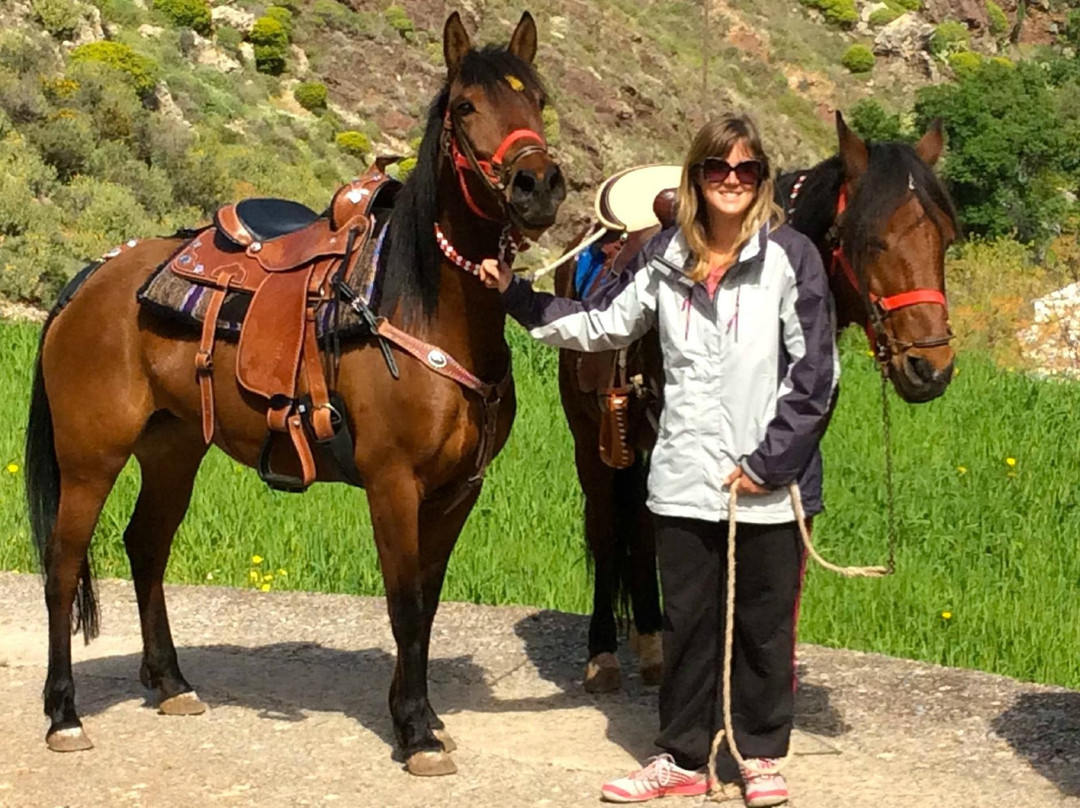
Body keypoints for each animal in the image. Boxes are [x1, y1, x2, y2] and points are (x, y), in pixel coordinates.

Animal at [23, 11, 565, 776]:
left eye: (539, 101)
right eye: (465, 107)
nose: (537, 184)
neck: (423, 309)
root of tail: (92, 275)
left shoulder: (460, 490)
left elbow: (428, 605)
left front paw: (421, 715)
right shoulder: (393, 482)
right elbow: (404, 603)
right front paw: (416, 730)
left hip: (172, 449)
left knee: (145, 546)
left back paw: (172, 683)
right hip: (89, 456)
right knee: (64, 566)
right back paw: (64, 713)